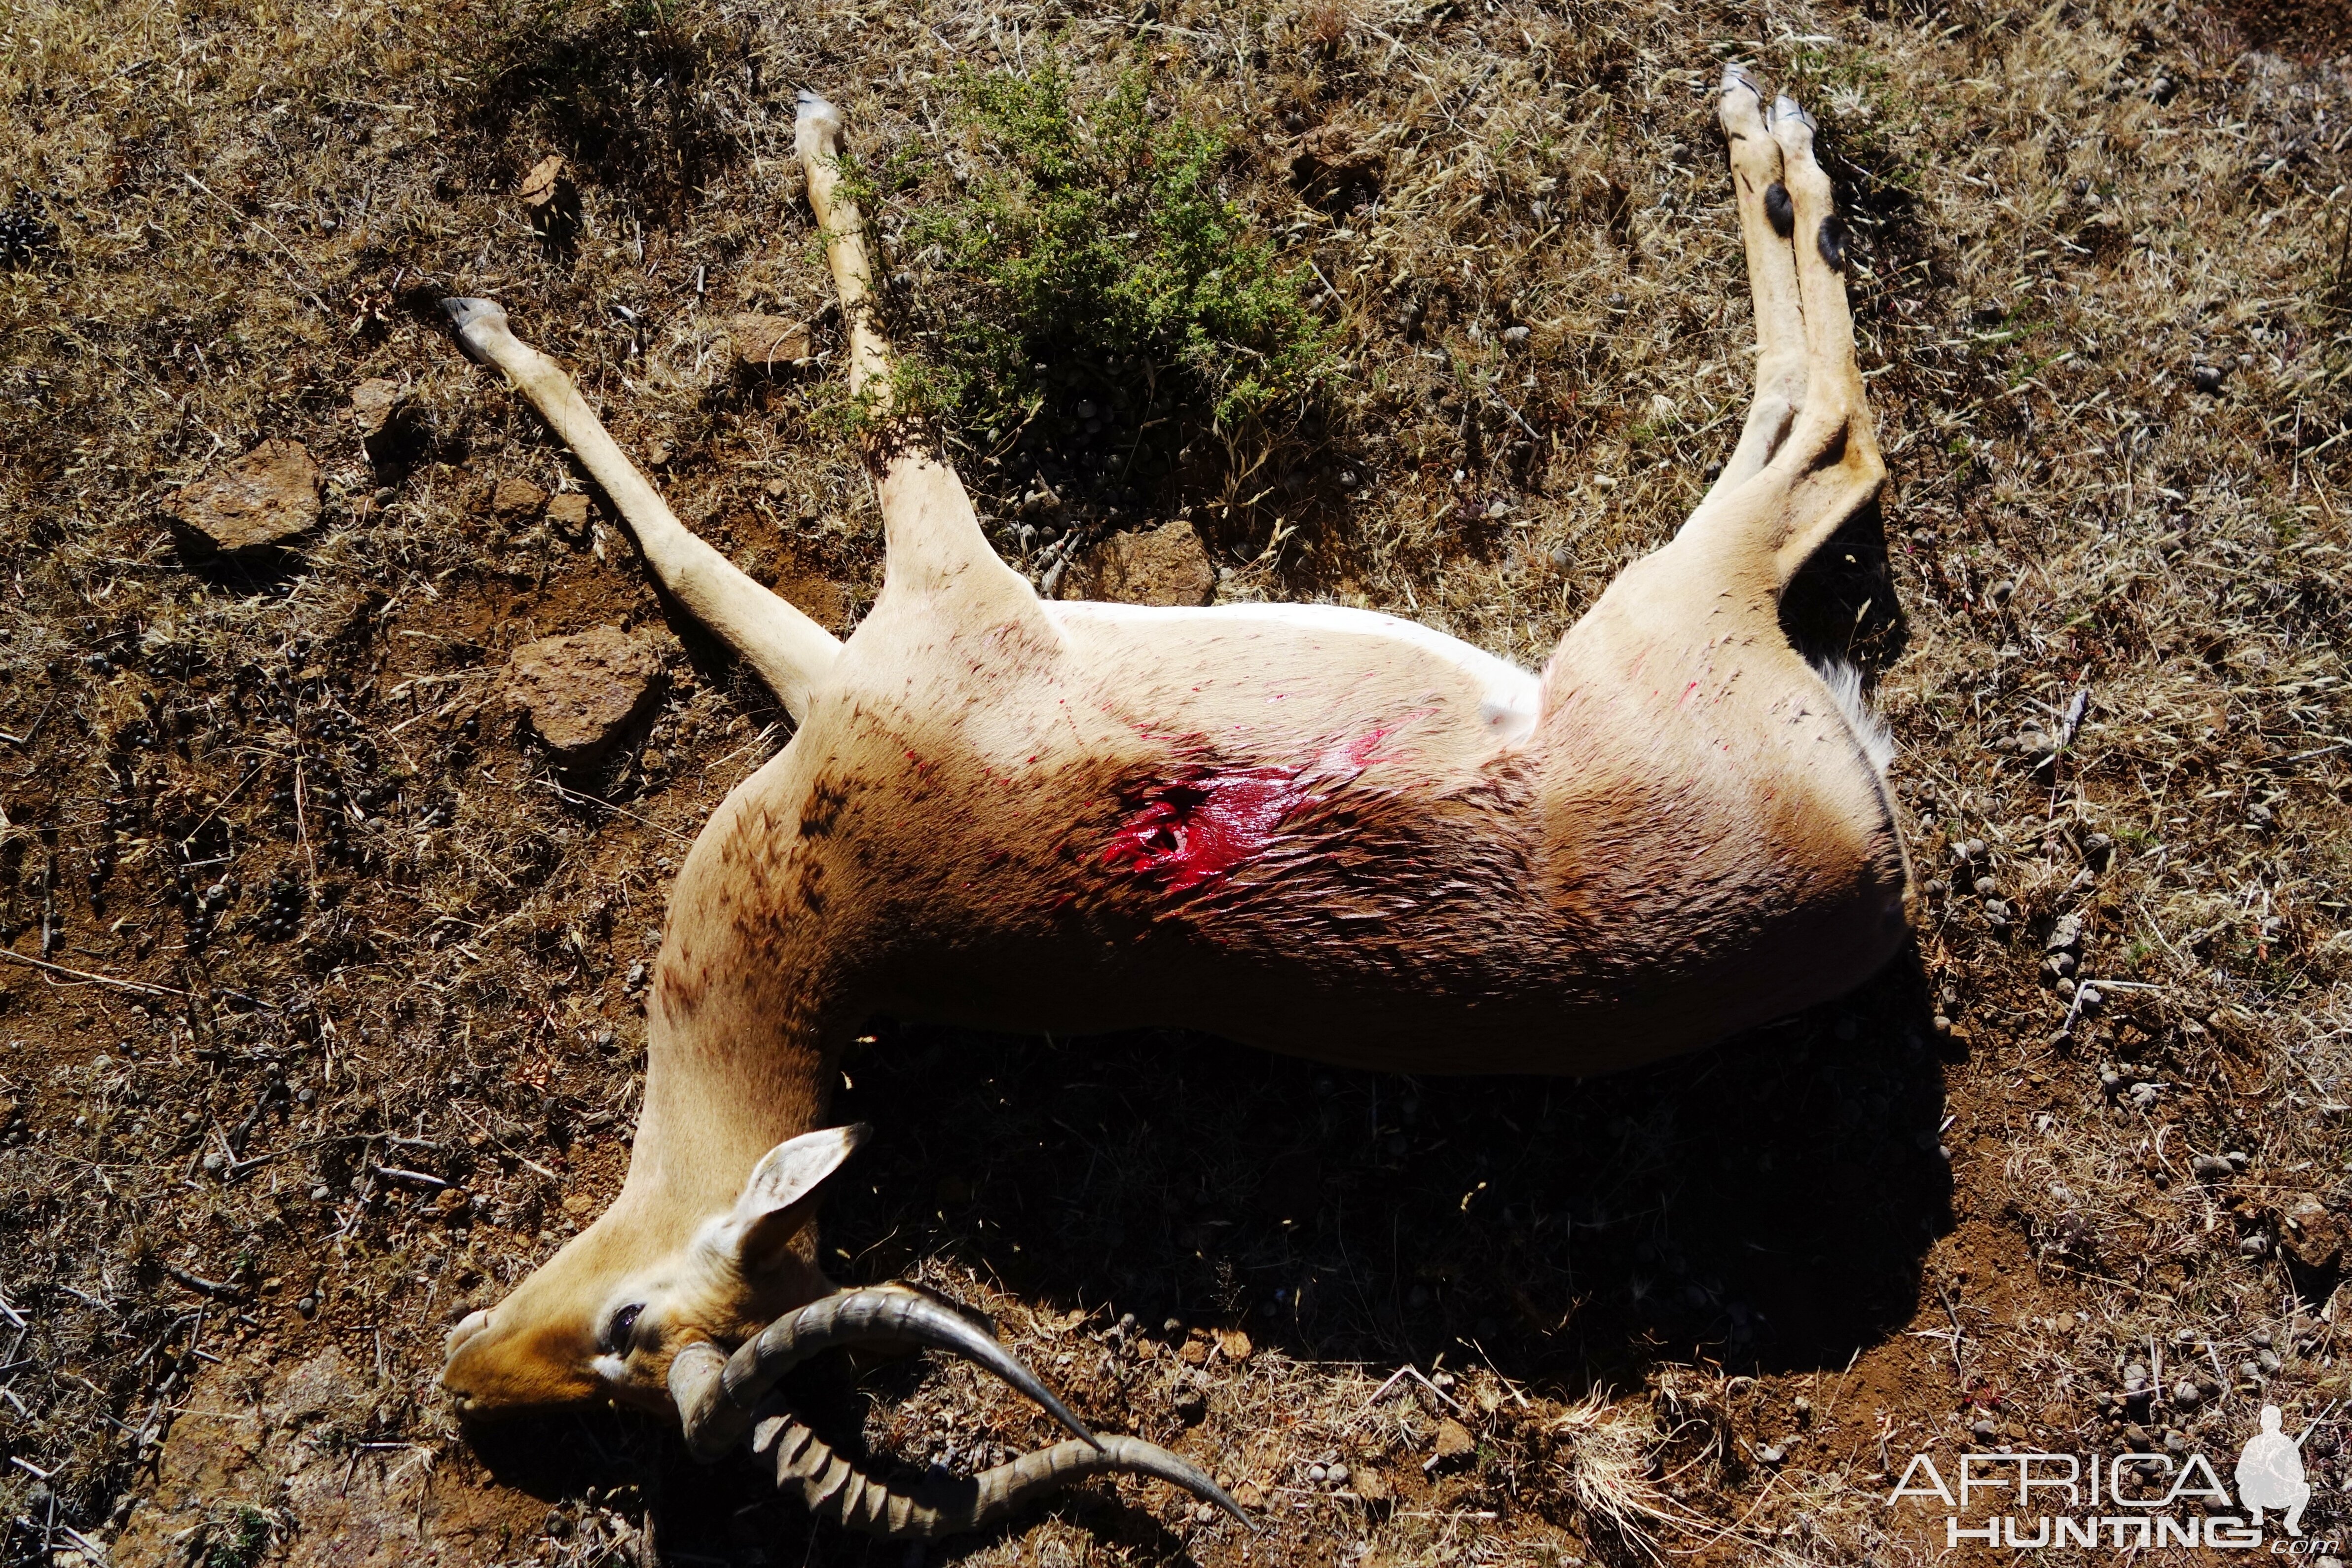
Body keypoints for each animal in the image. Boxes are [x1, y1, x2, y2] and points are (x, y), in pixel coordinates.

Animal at [442, 73, 1910, 1542]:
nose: (461, 1378)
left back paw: (1766, 124)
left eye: (629, 1327)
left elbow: (775, 478)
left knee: (1827, 432)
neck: (859, 893)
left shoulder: (905, 604)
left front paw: (525, 296)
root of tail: (1870, 874)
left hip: (1669, 592)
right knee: (1830, 444)